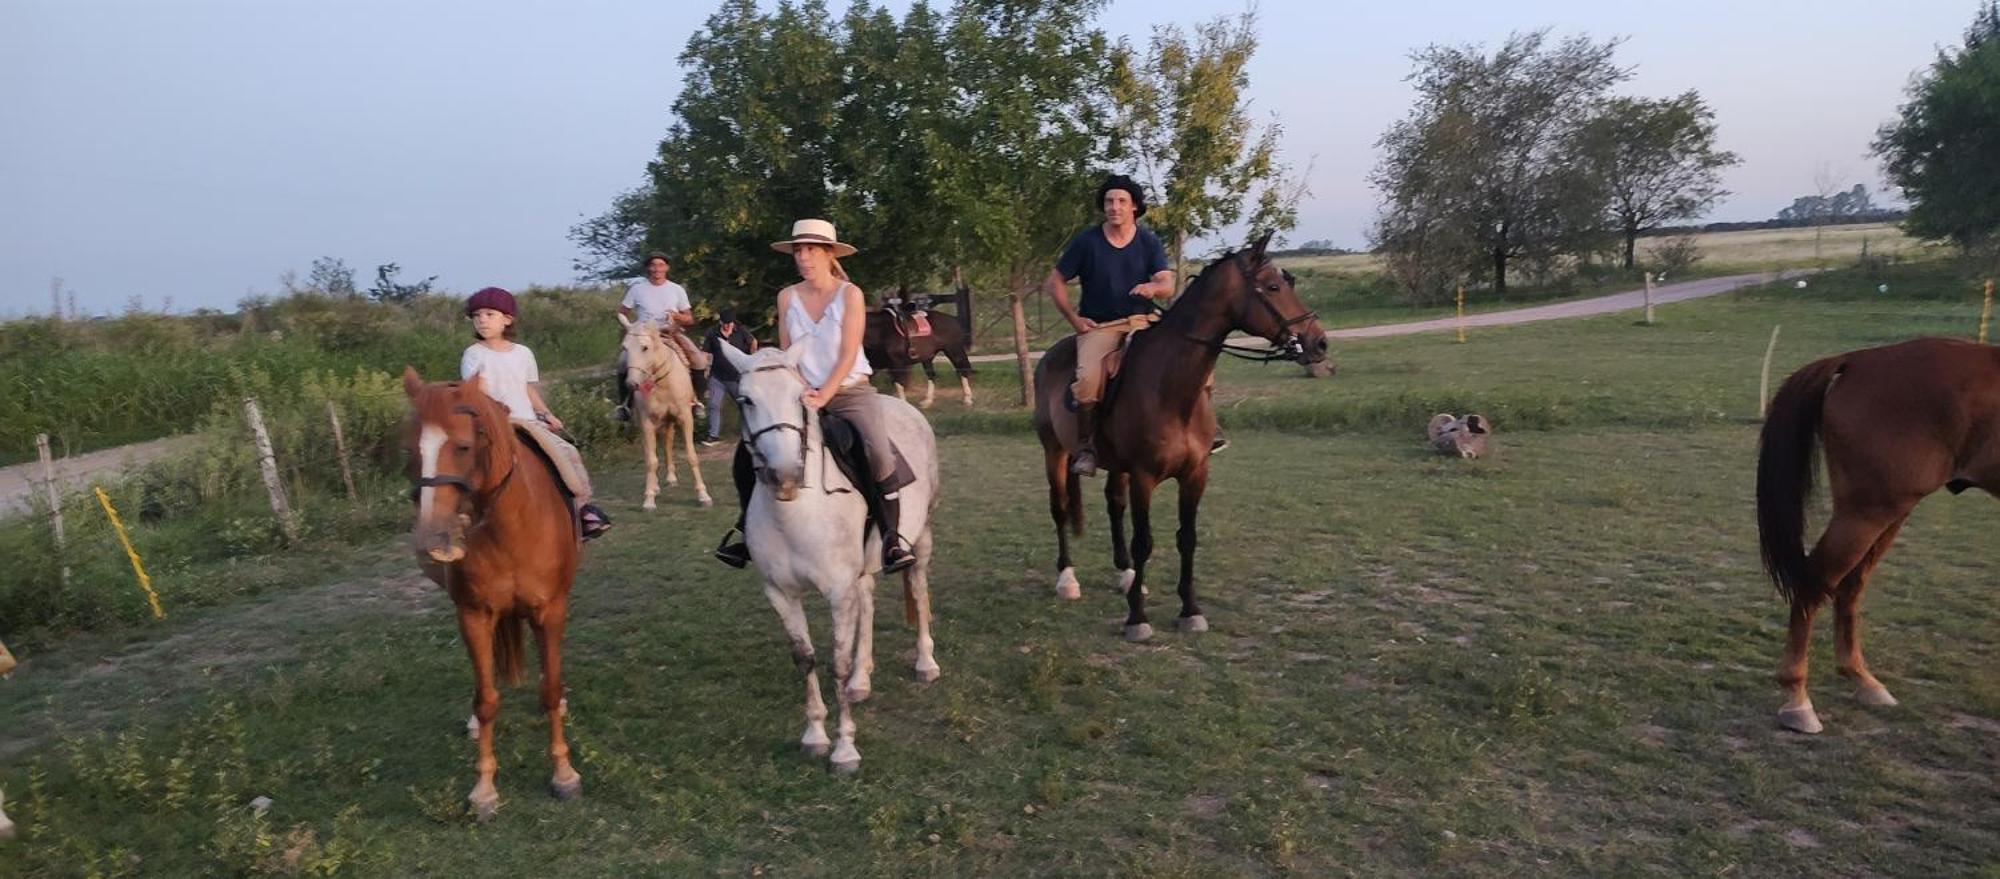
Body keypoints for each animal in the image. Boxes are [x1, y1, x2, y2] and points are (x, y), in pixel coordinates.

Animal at [402, 367, 584, 819]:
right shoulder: (473, 615)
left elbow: (549, 689)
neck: (511, 527)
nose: (432, 538)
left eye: (464, 446)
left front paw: (564, 775)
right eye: (410, 450)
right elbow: (485, 700)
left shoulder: (551, 610)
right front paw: (483, 790)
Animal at [624, 313, 720, 507]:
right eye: (625, 347)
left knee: (668, 442)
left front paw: (703, 495)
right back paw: (657, 485)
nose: (631, 384)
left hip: (669, 420)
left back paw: (671, 479)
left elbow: (692, 456)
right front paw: (649, 498)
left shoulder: (685, 417)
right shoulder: (646, 421)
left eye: (645, 347)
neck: (662, 383)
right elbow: (651, 460)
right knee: (653, 449)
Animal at [716, 339, 940, 771]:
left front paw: (845, 749)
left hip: (920, 537)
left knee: (919, 591)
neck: (797, 513)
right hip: (863, 568)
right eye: (746, 399)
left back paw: (925, 663)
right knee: (867, 600)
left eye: (799, 396)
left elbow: (836, 660)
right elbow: (805, 658)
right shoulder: (780, 593)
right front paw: (815, 735)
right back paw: (860, 680)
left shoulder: (837, 591)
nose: (786, 475)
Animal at [1032, 233, 1328, 643]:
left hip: (1114, 465)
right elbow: (1144, 541)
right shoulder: (1143, 476)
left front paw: (1190, 610)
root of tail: (1050, 356)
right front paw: (1137, 619)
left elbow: (1186, 538)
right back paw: (1067, 579)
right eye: (1272, 287)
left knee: (1113, 504)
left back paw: (1128, 577)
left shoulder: (1194, 475)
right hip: (1054, 450)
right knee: (1060, 508)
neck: (1170, 389)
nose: (1319, 343)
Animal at [1760, 335, 1992, 735]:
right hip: (1867, 513)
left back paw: (1863, 681)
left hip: (1888, 514)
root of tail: (1853, 360)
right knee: (1815, 583)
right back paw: (1798, 700)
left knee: (1850, 587)